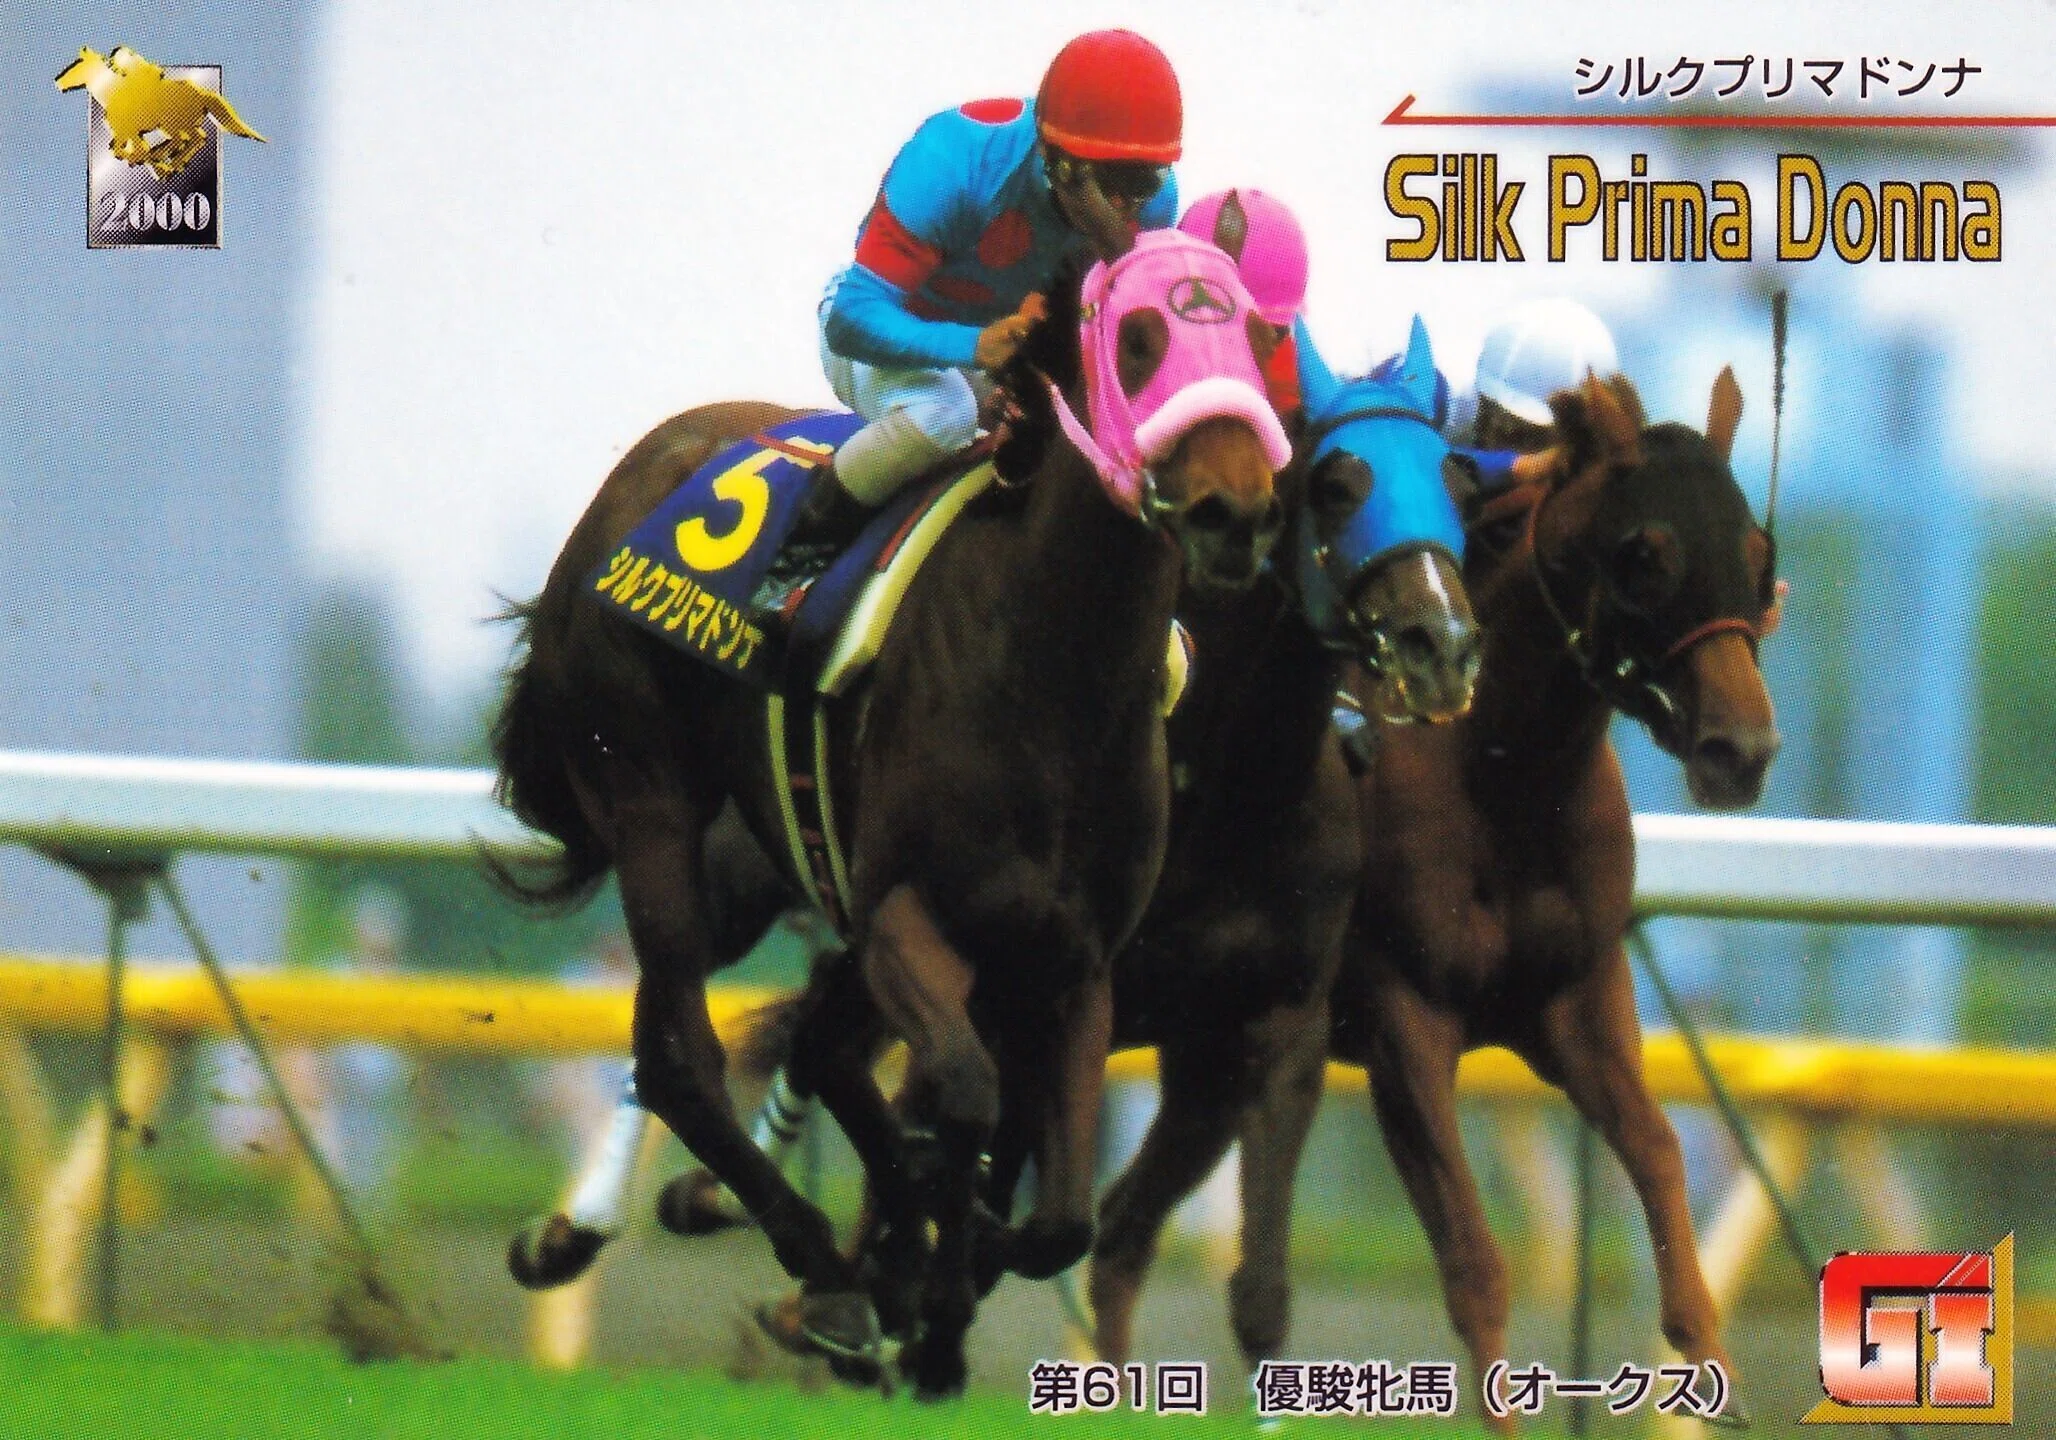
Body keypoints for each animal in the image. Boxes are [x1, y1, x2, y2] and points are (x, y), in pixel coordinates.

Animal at [492, 229, 1293, 1398]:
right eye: (1136, 339)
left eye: (1260, 336)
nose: (1233, 512)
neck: (1054, 668)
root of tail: (635, 474)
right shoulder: (905, 913)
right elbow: (962, 1096)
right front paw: (924, 1290)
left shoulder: (1075, 955)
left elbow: (1056, 1207)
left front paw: (945, 1289)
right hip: (652, 804)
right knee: (687, 1055)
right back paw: (822, 1264)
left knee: (736, 1047)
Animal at [1213, 369, 1774, 1430]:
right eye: (1644, 555)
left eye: (1761, 556)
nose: (1743, 750)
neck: (1496, 770)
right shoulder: (1402, 1013)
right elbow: (1475, 1265)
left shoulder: (1579, 998)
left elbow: (1665, 1177)